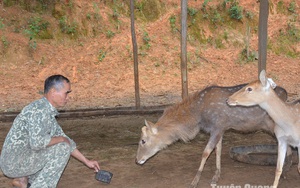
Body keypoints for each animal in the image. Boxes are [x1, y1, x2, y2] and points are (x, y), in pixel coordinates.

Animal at [135, 83, 288, 188]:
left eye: (143, 141)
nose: (137, 160)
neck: (198, 116)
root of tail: (286, 94)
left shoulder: (217, 126)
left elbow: (206, 152)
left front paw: (195, 181)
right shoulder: (220, 128)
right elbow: (218, 150)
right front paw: (216, 176)